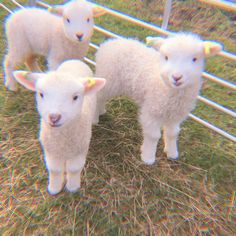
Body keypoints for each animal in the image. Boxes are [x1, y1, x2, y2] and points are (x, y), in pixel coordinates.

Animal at [12, 60, 105, 195]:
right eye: (41, 94)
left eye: (75, 97)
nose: (54, 117)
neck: (62, 139)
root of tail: (74, 60)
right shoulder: (51, 151)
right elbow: (54, 170)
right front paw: (54, 188)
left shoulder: (80, 150)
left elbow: (74, 169)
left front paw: (72, 187)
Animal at [94, 33, 223, 165]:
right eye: (166, 57)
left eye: (194, 59)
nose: (177, 77)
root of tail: (109, 42)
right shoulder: (152, 110)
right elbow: (153, 135)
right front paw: (148, 157)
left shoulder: (175, 115)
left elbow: (173, 133)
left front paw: (172, 153)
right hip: (109, 79)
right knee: (97, 96)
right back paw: (94, 118)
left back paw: (101, 111)